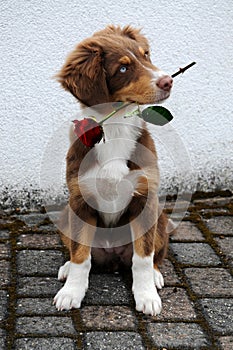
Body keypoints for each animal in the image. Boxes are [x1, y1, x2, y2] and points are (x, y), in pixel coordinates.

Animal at [53, 23, 173, 314]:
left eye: (146, 54)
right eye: (123, 68)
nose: (168, 81)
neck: (116, 125)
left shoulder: (144, 197)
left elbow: (143, 257)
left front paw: (147, 296)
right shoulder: (80, 199)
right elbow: (81, 256)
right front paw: (71, 292)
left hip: (160, 216)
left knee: (153, 255)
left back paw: (156, 276)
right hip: (65, 215)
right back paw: (66, 267)